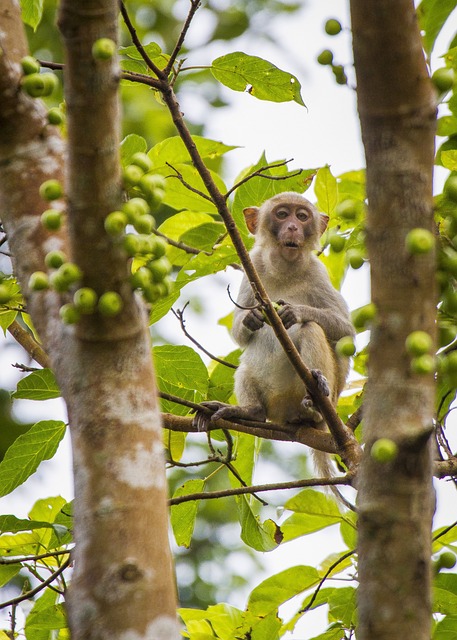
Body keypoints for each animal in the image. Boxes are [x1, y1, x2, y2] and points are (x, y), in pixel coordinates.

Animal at [194, 190, 354, 476]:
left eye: (301, 216)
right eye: (282, 214)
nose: (292, 227)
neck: (285, 269)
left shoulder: (318, 272)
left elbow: (346, 333)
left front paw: (295, 312)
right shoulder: (254, 265)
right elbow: (241, 333)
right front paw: (251, 318)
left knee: (312, 329)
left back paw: (316, 401)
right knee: (246, 365)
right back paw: (251, 411)